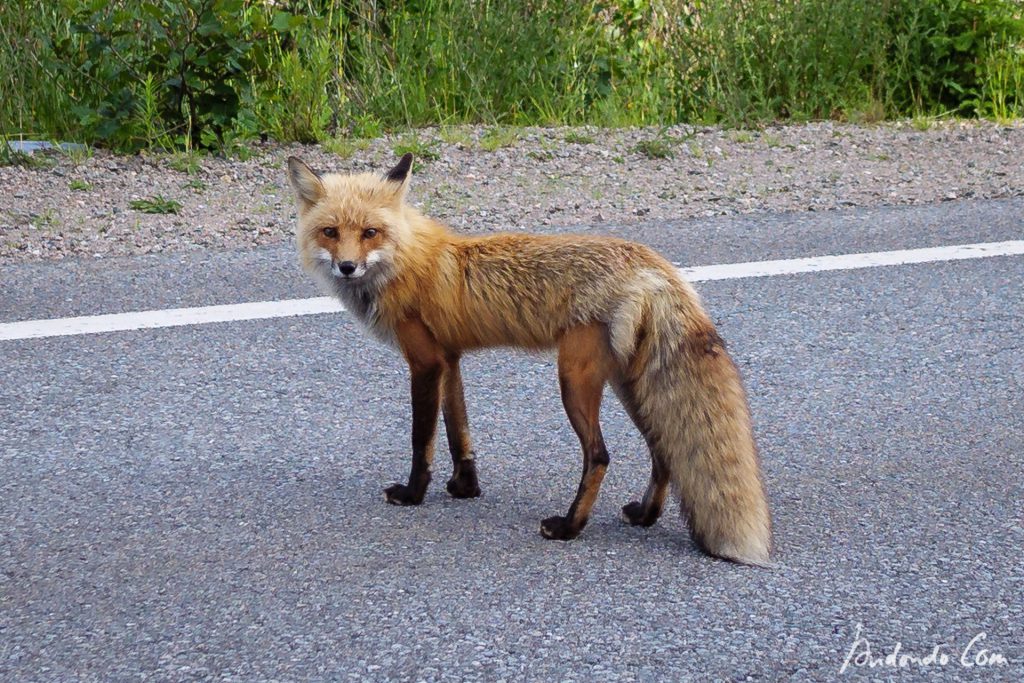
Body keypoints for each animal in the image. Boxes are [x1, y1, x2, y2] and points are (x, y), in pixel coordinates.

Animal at [284, 154, 770, 565]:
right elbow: (460, 434)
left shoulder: (424, 362)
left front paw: (413, 494)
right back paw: (645, 516)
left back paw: (570, 527)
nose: (347, 267)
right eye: (331, 232)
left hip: (574, 380)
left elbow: (422, 440)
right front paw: (466, 487)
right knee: (663, 448)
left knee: (599, 456)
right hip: (629, 385)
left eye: (370, 233)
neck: (405, 261)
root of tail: (655, 266)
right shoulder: (450, 360)